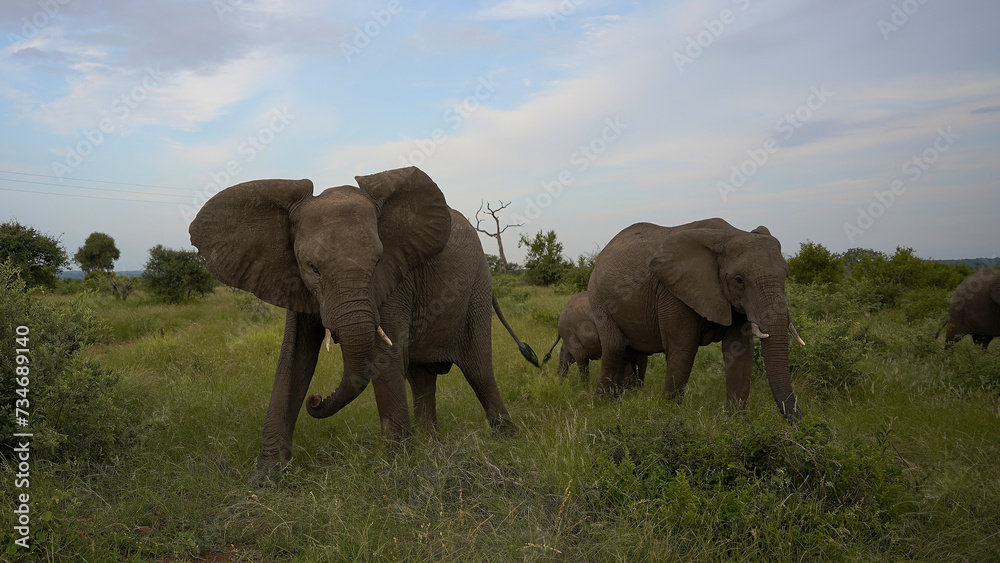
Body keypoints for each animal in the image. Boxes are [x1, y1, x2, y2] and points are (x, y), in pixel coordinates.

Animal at [189, 167, 538, 479]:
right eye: (312, 267)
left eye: (378, 260)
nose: (316, 399)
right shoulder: (290, 277)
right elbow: (293, 359)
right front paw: (266, 477)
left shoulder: (396, 277)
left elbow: (384, 357)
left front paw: (397, 469)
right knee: (421, 377)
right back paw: (431, 445)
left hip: (477, 290)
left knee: (478, 369)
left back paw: (507, 440)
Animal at [587, 218, 805, 422]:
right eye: (739, 280)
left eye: (786, 275)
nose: (801, 422)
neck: (729, 234)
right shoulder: (674, 292)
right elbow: (683, 349)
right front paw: (667, 415)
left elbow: (740, 350)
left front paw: (736, 424)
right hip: (599, 300)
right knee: (615, 348)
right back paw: (600, 405)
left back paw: (617, 401)